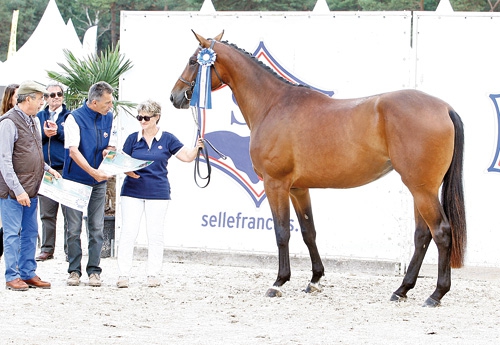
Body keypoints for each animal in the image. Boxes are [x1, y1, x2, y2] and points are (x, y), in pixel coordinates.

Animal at [170, 30, 466, 306]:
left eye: (193, 61)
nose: (175, 97)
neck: (273, 105)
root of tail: (445, 108)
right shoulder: (299, 189)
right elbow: (308, 232)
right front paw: (314, 279)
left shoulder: (276, 184)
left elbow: (282, 233)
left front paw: (278, 282)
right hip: (419, 188)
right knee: (422, 235)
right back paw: (402, 289)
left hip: (422, 188)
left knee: (441, 232)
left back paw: (436, 294)